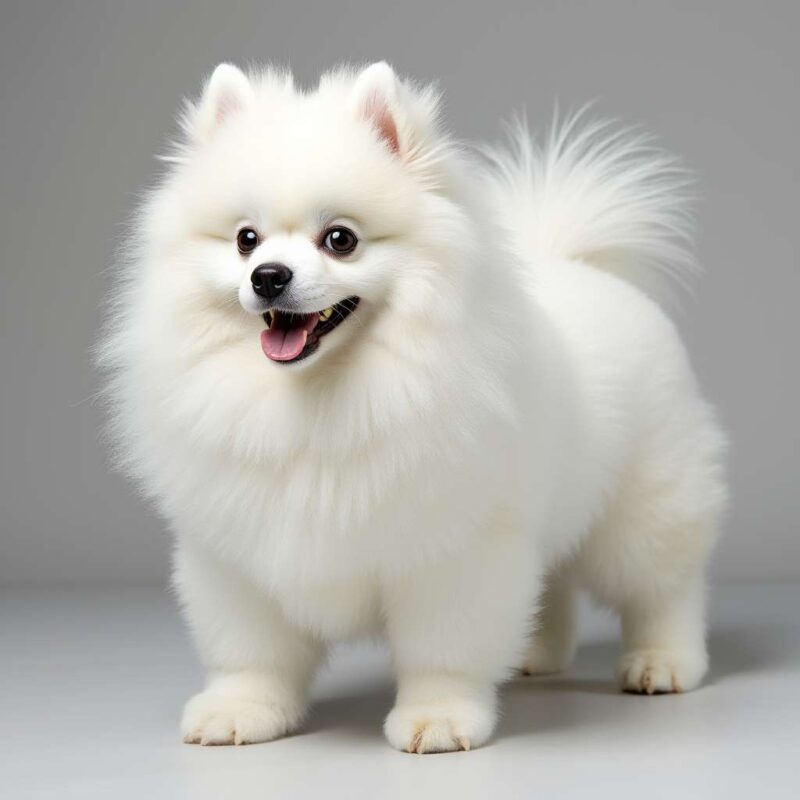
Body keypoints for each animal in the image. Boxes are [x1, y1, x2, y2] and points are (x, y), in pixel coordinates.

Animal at [100, 61, 724, 752]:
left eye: (339, 239)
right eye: (245, 239)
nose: (268, 275)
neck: (325, 398)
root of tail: (579, 266)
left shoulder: (451, 550)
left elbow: (443, 650)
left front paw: (439, 718)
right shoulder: (237, 555)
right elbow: (251, 649)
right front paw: (242, 709)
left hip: (645, 507)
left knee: (665, 586)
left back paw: (662, 663)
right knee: (553, 578)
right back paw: (535, 655)